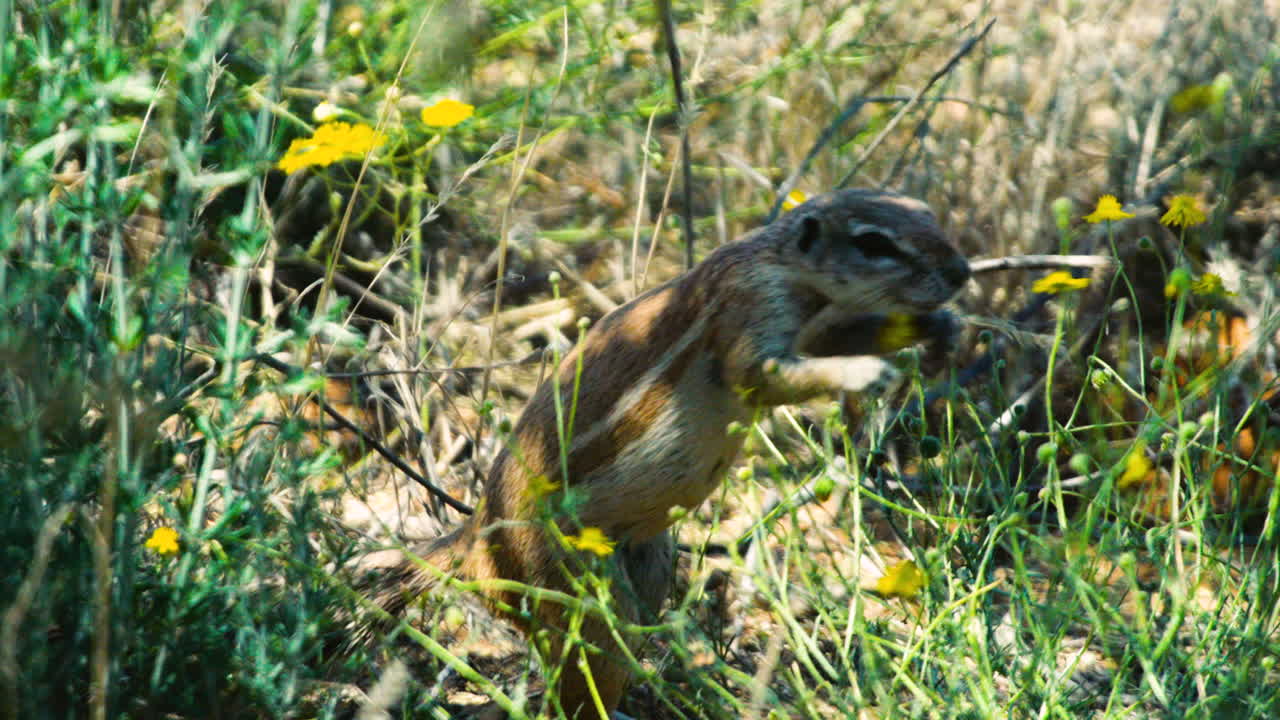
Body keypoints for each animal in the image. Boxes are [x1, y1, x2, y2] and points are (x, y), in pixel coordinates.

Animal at [365, 188, 970, 718]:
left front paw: (941, 325)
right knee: (579, 678)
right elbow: (765, 375)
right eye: (873, 243)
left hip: (647, 565)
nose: (963, 273)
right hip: (572, 590)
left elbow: (841, 339)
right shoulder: (750, 307)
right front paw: (863, 372)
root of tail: (474, 537)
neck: (784, 264)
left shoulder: (812, 327)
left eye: (926, 211)